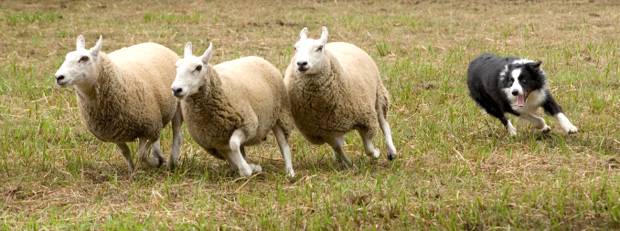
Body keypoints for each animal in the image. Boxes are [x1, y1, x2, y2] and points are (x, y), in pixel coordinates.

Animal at [54, 34, 182, 171]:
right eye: (66, 57)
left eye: (84, 58)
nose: (58, 77)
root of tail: (153, 43)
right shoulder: (114, 132)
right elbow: (126, 153)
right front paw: (132, 170)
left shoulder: (148, 128)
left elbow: (141, 154)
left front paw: (155, 162)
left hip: (177, 105)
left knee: (177, 133)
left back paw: (172, 161)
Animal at [170, 42, 296, 178]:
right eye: (176, 66)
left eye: (198, 67)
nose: (176, 89)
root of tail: (257, 57)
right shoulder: (215, 141)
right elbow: (232, 156)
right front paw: (251, 168)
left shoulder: (248, 125)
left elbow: (234, 144)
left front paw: (247, 169)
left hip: (280, 114)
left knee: (283, 144)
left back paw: (290, 171)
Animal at [284, 26, 398, 166]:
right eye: (295, 48)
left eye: (319, 48)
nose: (301, 63)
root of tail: (339, 42)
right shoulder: (324, 131)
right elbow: (337, 147)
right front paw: (348, 163)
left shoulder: (365, 119)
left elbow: (368, 147)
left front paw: (376, 153)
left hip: (378, 95)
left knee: (384, 124)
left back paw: (391, 151)